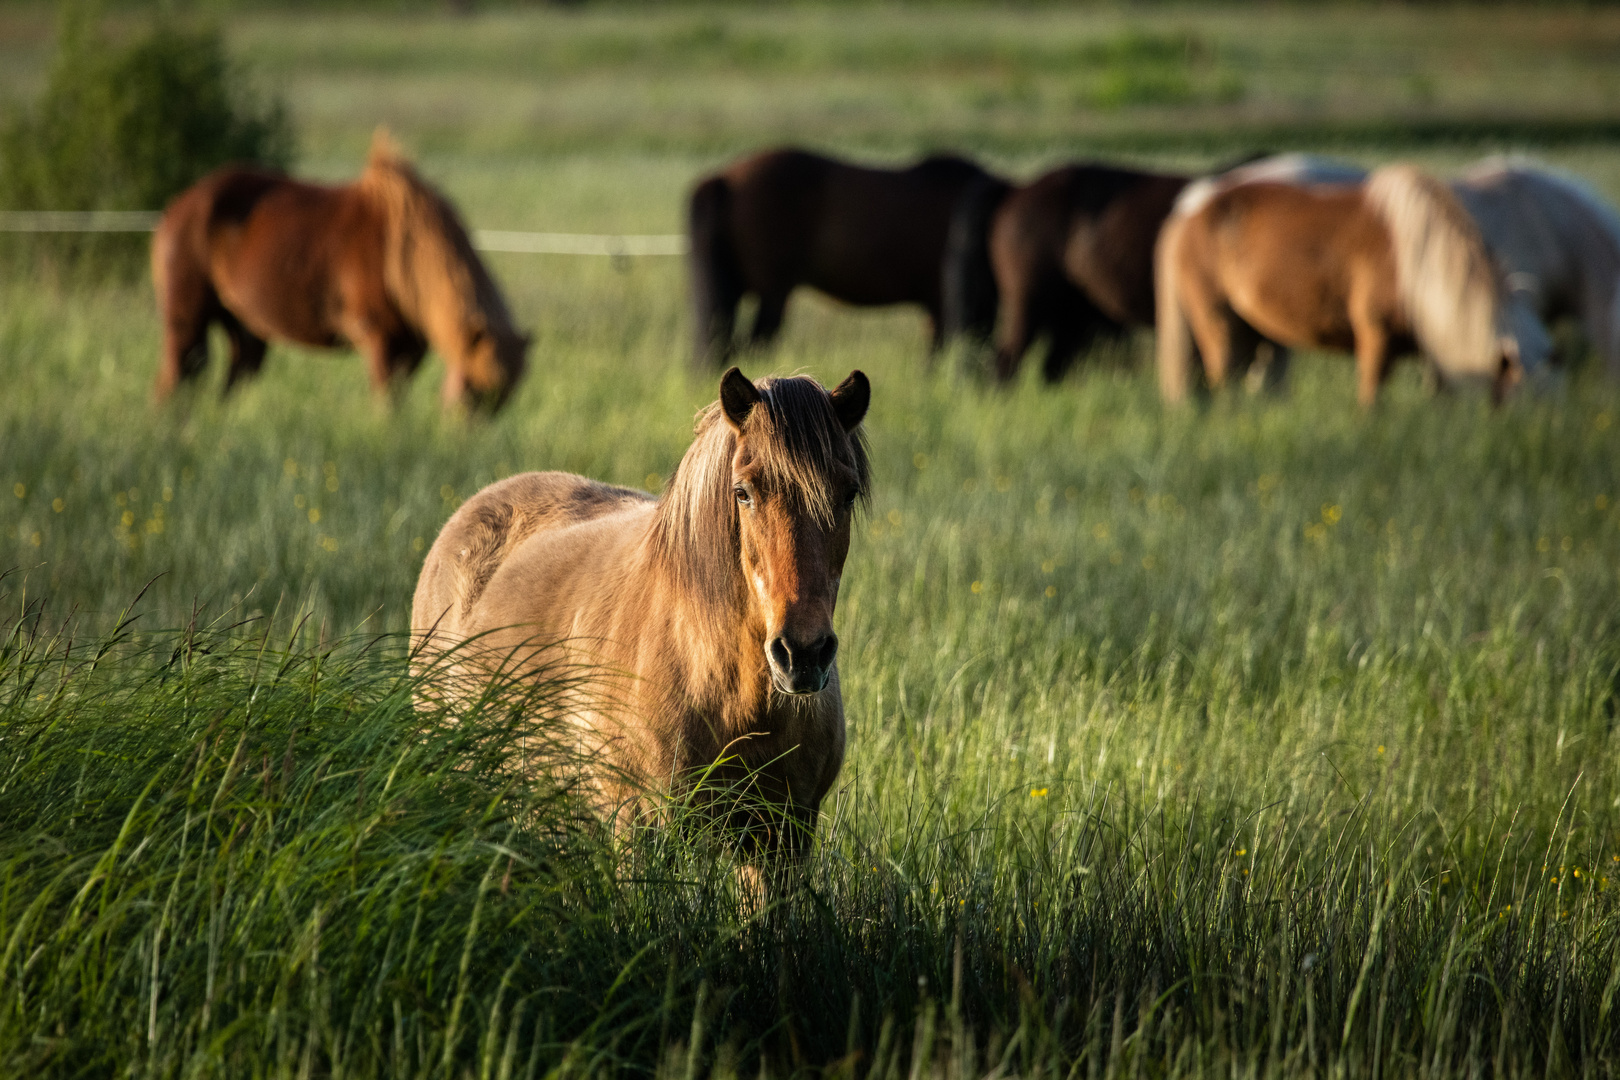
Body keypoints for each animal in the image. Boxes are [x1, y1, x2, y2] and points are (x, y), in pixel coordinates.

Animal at [155, 127, 528, 414]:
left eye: (502, 401)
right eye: (473, 392)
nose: (461, 438)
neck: (401, 252)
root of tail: (180, 206)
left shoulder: (411, 349)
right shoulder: (378, 339)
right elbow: (386, 404)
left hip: (245, 328)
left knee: (231, 384)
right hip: (186, 321)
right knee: (172, 380)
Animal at [1153, 162, 1542, 408]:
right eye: (1525, 399)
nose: (1536, 442)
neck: (1418, 263)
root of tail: (1189, 210)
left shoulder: (1433, 353)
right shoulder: (1375, 333)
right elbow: (1371, 399)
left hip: (1254, 329)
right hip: (1219, 322)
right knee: (1224, 379)